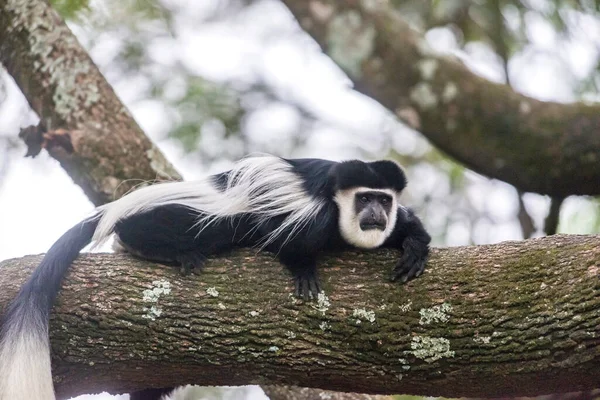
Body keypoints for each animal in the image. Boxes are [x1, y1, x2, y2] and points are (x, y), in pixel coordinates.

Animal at [0, 155, 432, 400]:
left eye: (384, 199)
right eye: (365, 198)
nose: (375, 214)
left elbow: (403, 231)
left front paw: (414, 246)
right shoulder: (312, 214)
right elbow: (285, 239)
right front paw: (304, 271)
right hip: (213, 212)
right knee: (204, 226)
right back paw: (154, 246)